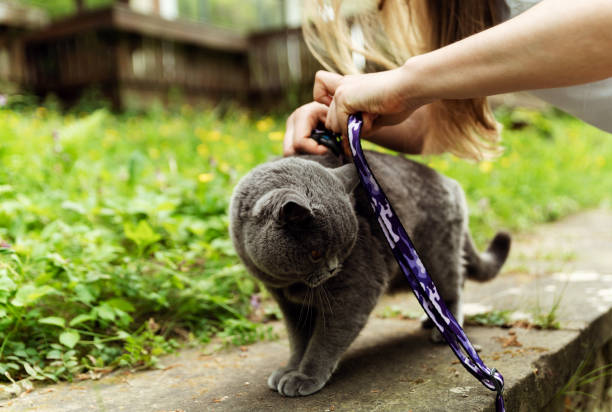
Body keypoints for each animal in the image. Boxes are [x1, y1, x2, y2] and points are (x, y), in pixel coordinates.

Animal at [227, 150, 510, 396]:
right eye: (316, 253)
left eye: (345, 248)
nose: (334, 268)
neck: (292, 284)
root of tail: (446, 180)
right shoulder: (289, 305)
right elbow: (299, 340)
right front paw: (288, 369)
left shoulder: (355, 290)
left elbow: (324, 339)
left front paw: (305, 377)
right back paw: (432, 322)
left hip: (434, 258)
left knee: (454, 287)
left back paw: (446, 331)